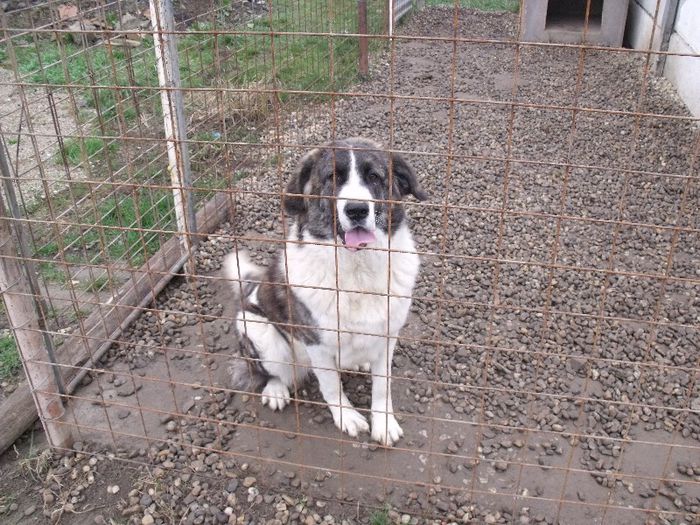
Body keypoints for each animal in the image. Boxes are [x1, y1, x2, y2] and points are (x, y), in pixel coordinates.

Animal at [223, 137, 426, 444]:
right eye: (333, 177)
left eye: (374, 177)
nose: (357, 209)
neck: (357, 269)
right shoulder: (316, 343)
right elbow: (331, 386)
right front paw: (347, 417)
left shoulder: (388, 336)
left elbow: (383, 386)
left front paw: (383, 422)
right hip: (258, 329)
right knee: (263, 371)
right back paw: (275, 390)